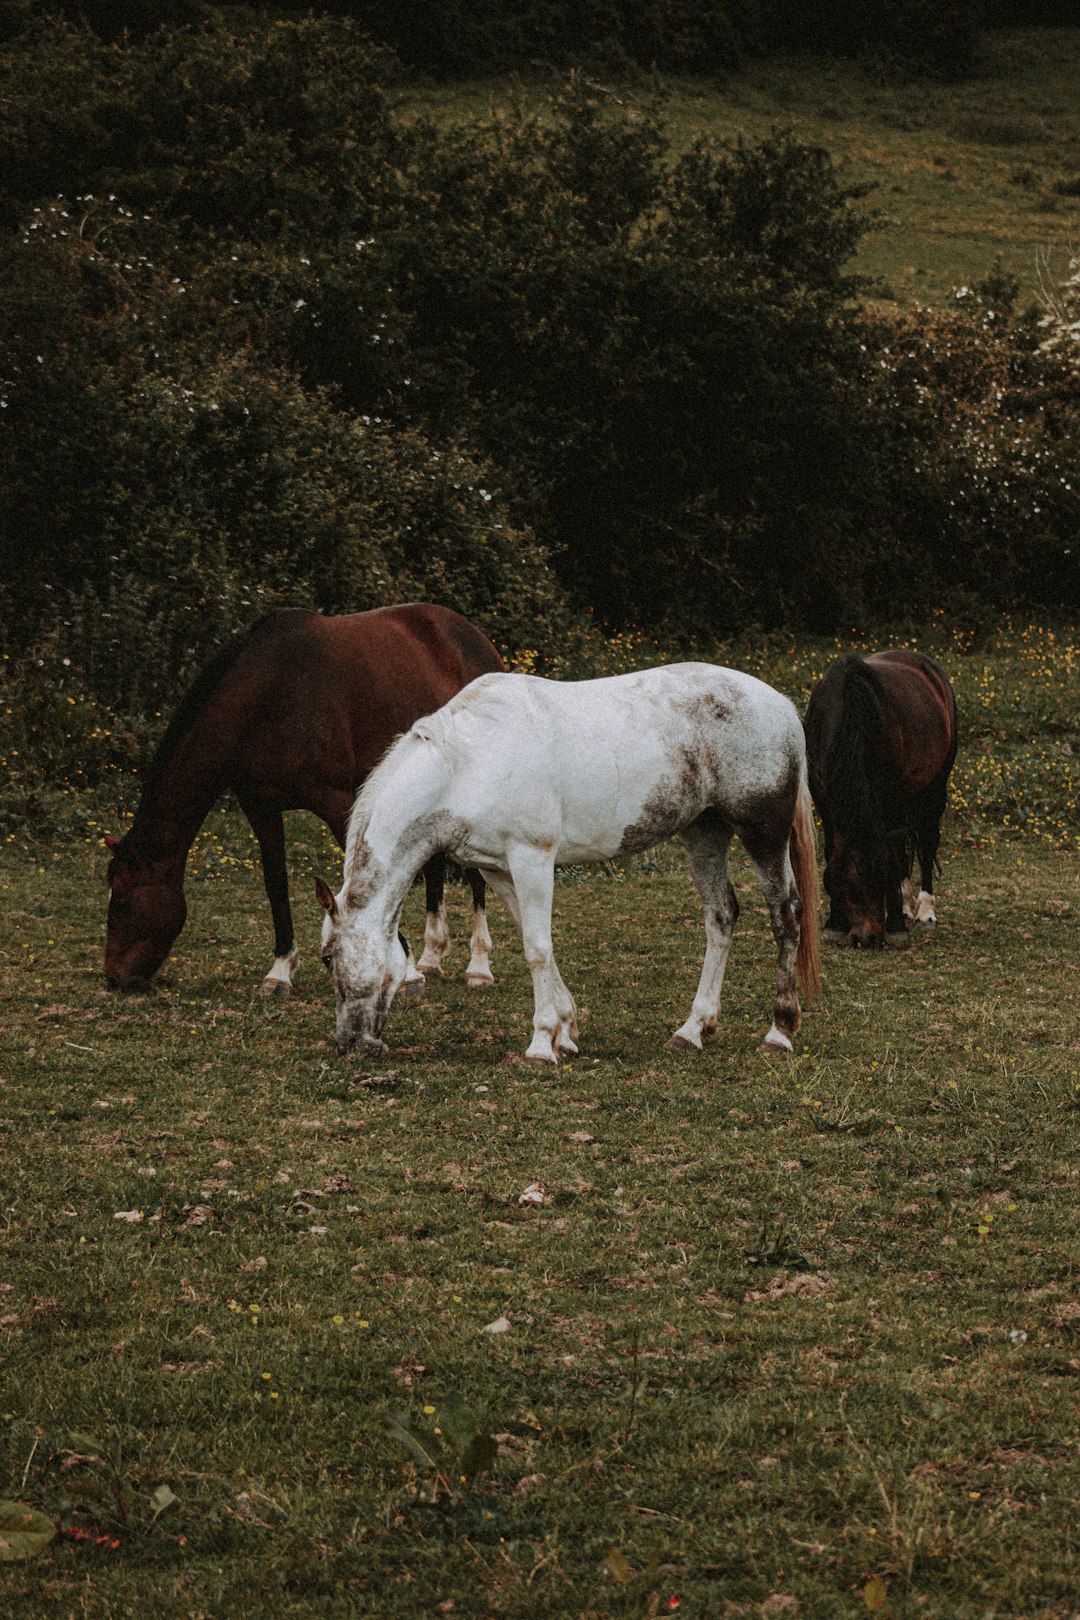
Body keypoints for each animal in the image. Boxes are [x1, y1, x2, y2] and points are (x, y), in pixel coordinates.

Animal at [102, 605, 508, 991]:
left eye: (121, 899)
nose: (114, 978)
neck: (270, 697)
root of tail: (477, 640)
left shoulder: (338, 803)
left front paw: (405, 975)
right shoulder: (260, 806)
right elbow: (276, 884)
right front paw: (280, 970)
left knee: (475, 874)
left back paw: (478, 967)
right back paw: (432, 959)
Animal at [317, 664, 822, 1069]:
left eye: (327, 957)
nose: (348, 1045)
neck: (465, 762)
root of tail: (780, 705)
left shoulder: (533, 859)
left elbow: (537, 949)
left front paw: (541, 1045)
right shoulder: (499, 870)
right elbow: (535, 941)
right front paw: (565, 1031)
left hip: (762, 834)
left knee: (785, 915)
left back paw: (778, 1031)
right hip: (705, 833)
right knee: (721, 916)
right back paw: (692, 1029)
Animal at [803, 648, 965, 946]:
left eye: (881, 881)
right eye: (851, 888)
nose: (868, 938)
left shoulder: (889, 798)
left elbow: (897, 856)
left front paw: (897, 925)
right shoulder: (823, 799)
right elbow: (834, 851)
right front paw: (835, 922)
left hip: (933, 788)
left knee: (926, 843)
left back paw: (925, 909)